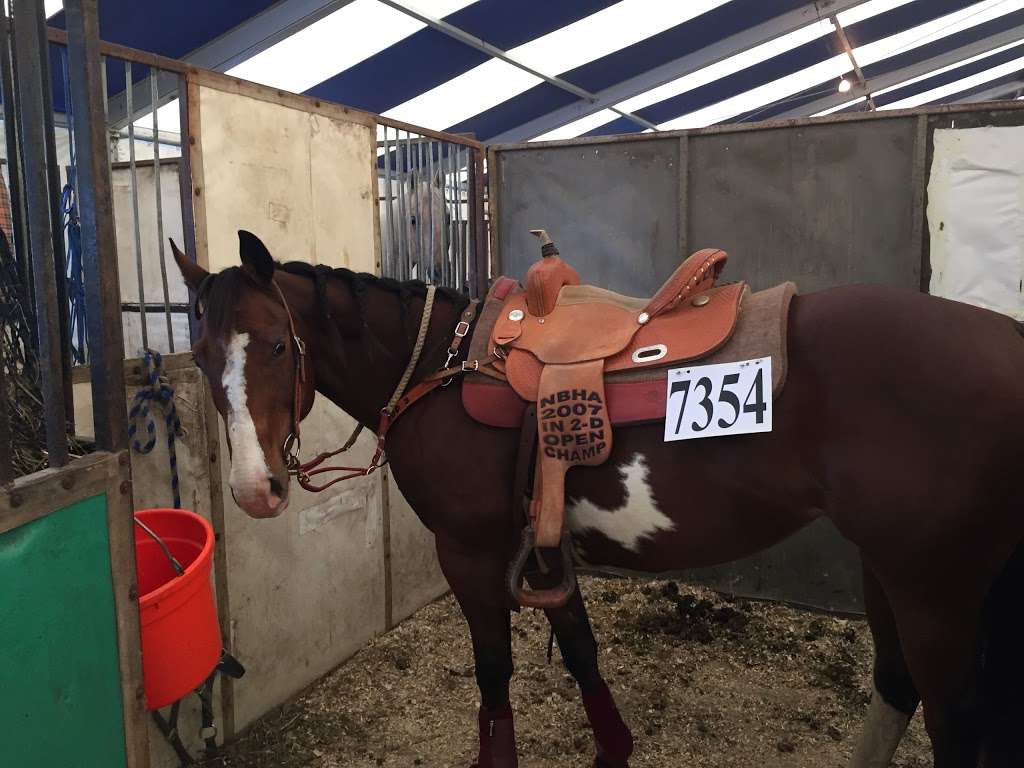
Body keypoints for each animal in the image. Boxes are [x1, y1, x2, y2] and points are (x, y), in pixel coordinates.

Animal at [171, 231, 1024, 768]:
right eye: (201, 355)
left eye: (276, 345)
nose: (253, 489)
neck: (442, 364)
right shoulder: (545, 546)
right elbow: (580, 650)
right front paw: (614, 748)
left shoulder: (469, 554)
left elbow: (494, 673)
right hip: (889, 568)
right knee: (897, 688)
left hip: (934, 588)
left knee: (950, 721)